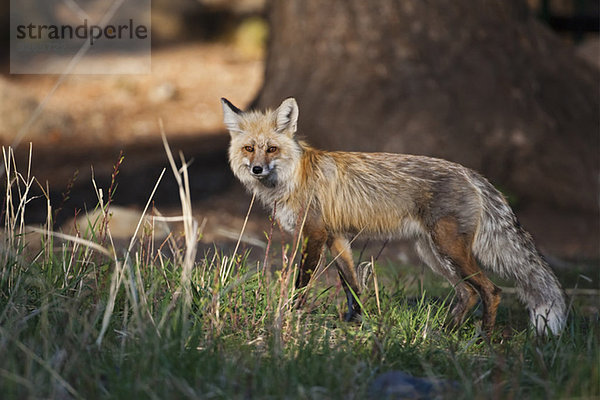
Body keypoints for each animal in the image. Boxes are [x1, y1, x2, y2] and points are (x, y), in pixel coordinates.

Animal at [220, 96, 568, 334]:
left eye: (271, 149)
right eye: (249, 148)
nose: (257, 169)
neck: (293, 177)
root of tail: (470, 174)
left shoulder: (314, 234)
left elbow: (301, 283)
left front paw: (288, 316)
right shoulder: (337, 238)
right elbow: (352, 286)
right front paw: (354, 324)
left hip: (449, 249)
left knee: (491, 291)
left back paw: (484, 339)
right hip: (433, 254)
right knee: (468, 293)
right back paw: (445, 334)